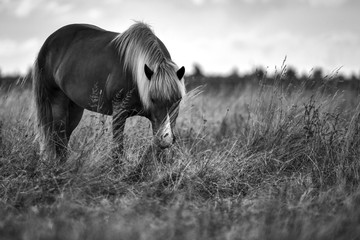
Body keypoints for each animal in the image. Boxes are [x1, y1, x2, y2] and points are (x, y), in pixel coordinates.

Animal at [32, 21, 186, 160]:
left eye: (178, 100)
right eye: (152, 99)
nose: (166, 139)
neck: (134, 71)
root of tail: (49, 42)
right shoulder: (119, 113)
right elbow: (117, 149)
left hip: (74, 108)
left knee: (64, 139)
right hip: (58, 102)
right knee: (58, 138)